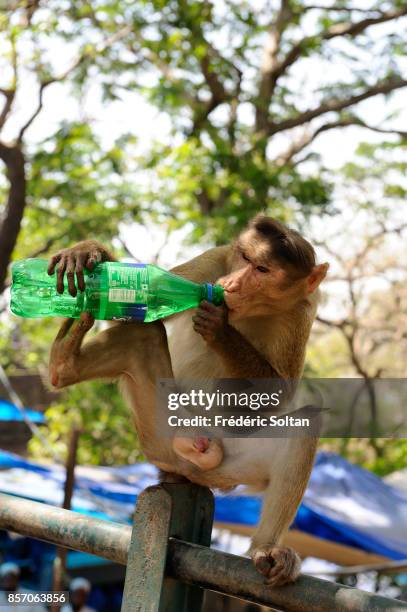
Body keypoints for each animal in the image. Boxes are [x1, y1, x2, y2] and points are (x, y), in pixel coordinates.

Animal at [48, 214, 328, 584]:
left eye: (262, 269)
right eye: (244, 257)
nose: (231, 283)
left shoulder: (301, 311)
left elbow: (280, 391)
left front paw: (221, 329)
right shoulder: (214, 260)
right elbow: (145, 304)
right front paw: (91, 253)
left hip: (230, 466)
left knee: (306, 423)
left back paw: (266, 548)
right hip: (158, 432)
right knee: (141, 334)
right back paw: (63, 366)